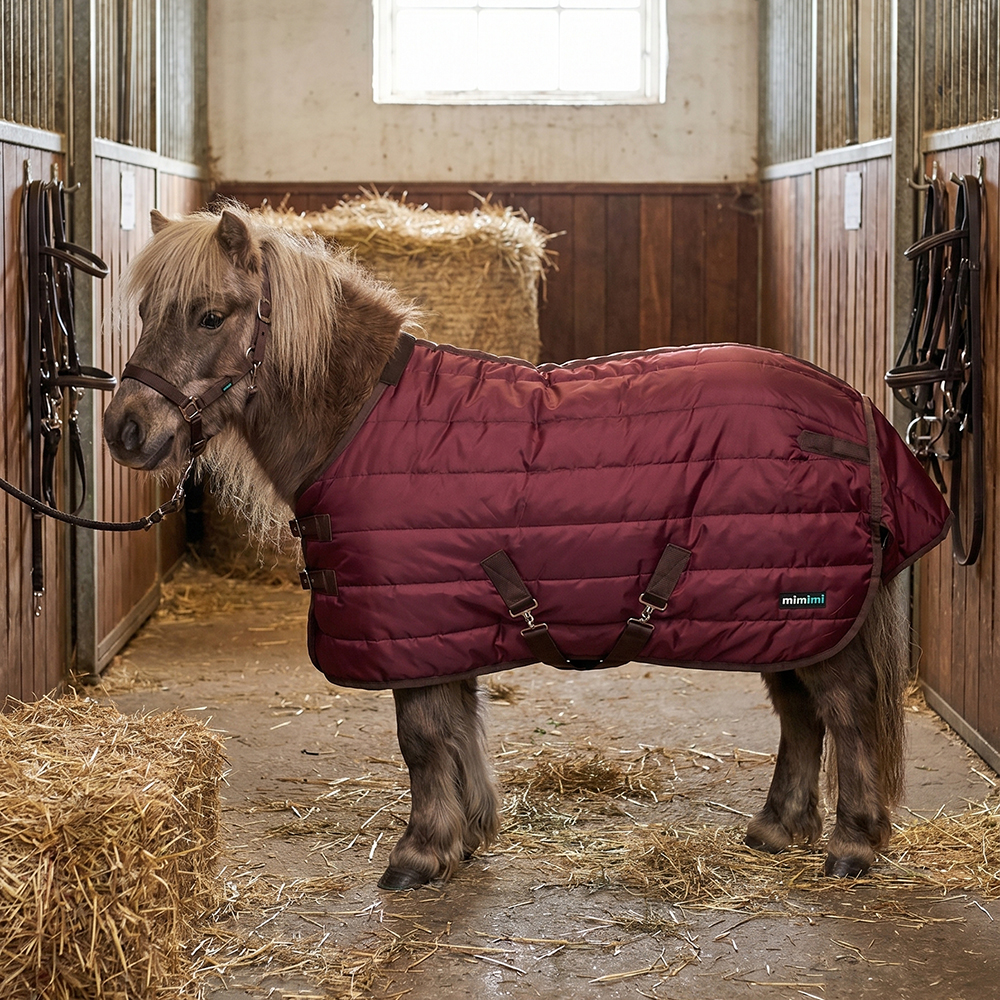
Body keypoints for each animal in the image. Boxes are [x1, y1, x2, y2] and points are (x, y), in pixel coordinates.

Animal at [103, 205, 950, 891]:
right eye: (145, 310)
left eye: (210, 316)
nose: (125, 429)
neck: (362, 418)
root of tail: (855, 412)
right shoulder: (445, 625)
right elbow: (460, 726)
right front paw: (469, 833)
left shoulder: (414, 629)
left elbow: (422, 738)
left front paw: (420, 852)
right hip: (778, 618)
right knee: (799, 714)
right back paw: (779, 827)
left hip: (805, 610)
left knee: (843, 709)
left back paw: (853, 843)